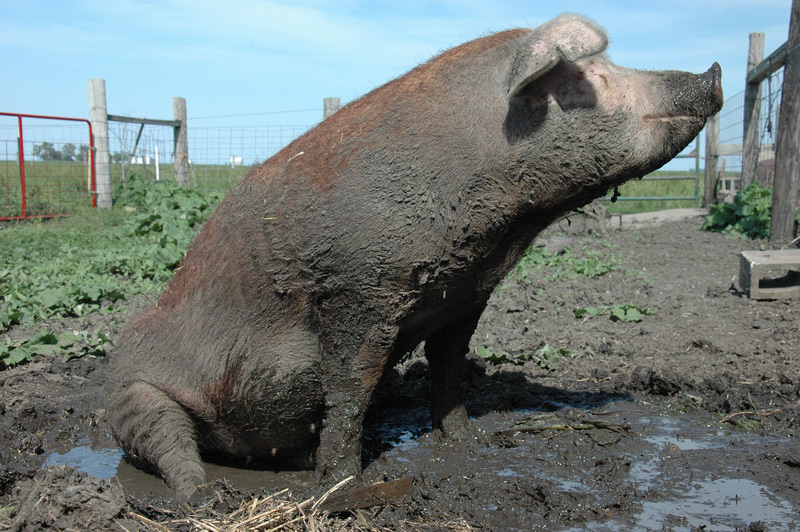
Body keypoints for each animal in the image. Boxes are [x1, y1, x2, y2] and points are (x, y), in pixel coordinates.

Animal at [105, 13, 722, 499]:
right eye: (591, 78)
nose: (714, 72)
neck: (499, 230)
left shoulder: (465, 297)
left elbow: (448, 372)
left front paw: (471, 444)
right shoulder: (358, 293)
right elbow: (350, 392)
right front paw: (346, 486)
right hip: (133, 397)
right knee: (169, 446)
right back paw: (205, 496)